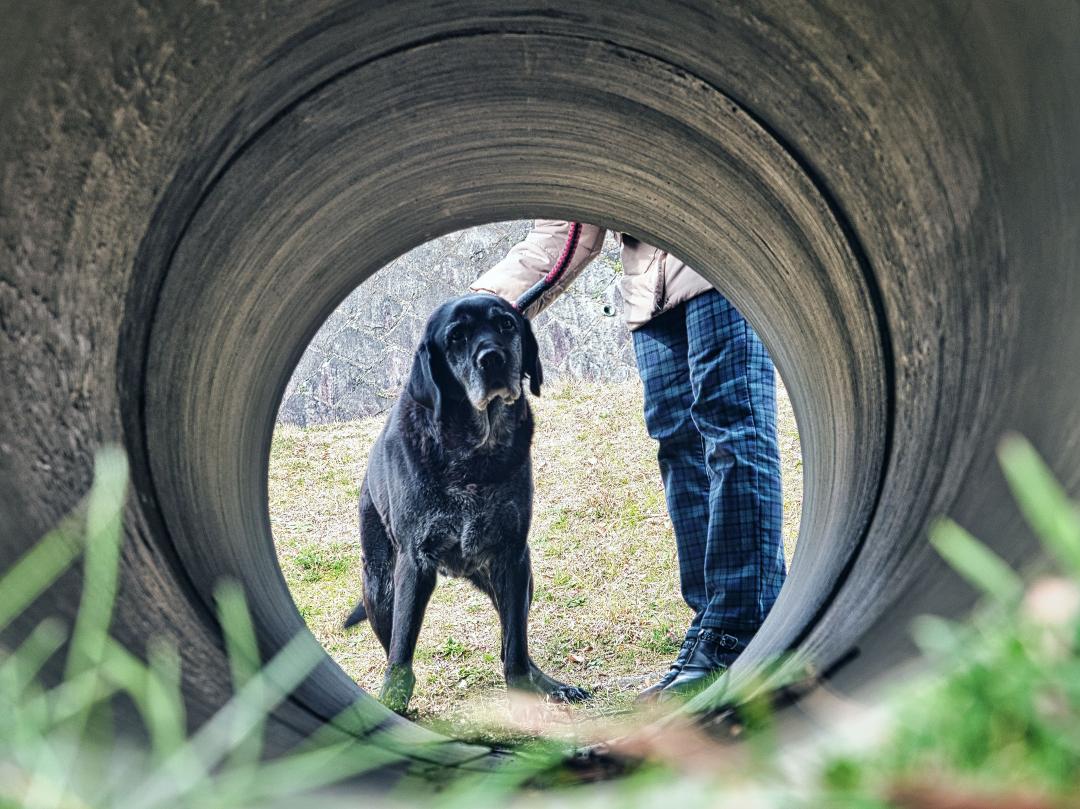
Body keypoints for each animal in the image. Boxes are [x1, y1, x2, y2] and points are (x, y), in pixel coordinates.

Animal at [343, 293, 591, 708]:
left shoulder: (512, 557)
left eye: (506, 324)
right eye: (456, 337)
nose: (492, 359)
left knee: (513, 641)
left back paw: (550, 684)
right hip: (379, 584)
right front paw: (393, 700)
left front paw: (525, 689)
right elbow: (401, 650)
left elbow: (515, 648)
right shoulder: (413, 563)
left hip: (515, 579)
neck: (474, 455)